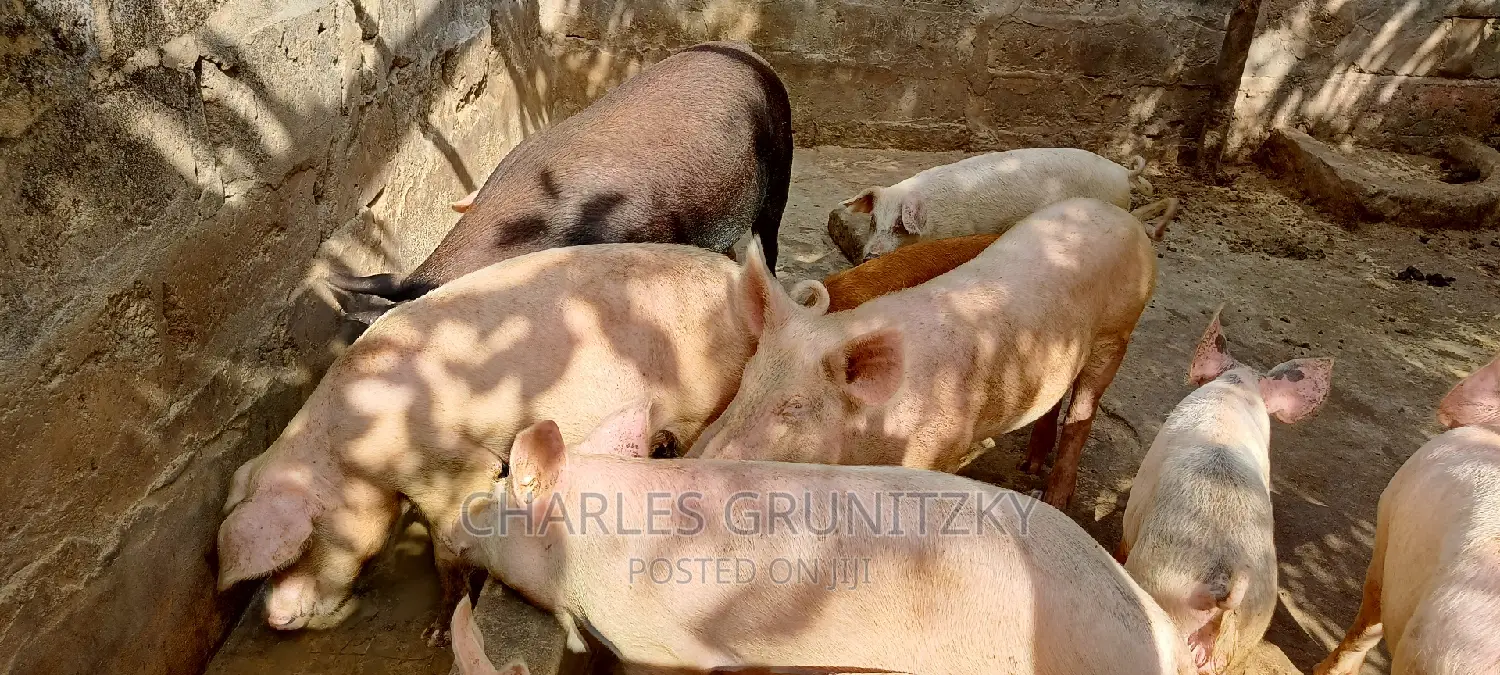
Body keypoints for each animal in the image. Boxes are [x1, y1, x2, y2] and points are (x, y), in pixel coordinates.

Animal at [216, 244, 758, 644]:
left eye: (302, 546)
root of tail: (745, 286)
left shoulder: (445, 464)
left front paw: (436, 635)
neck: (351, 452)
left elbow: (449, 542)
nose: (273, 619)